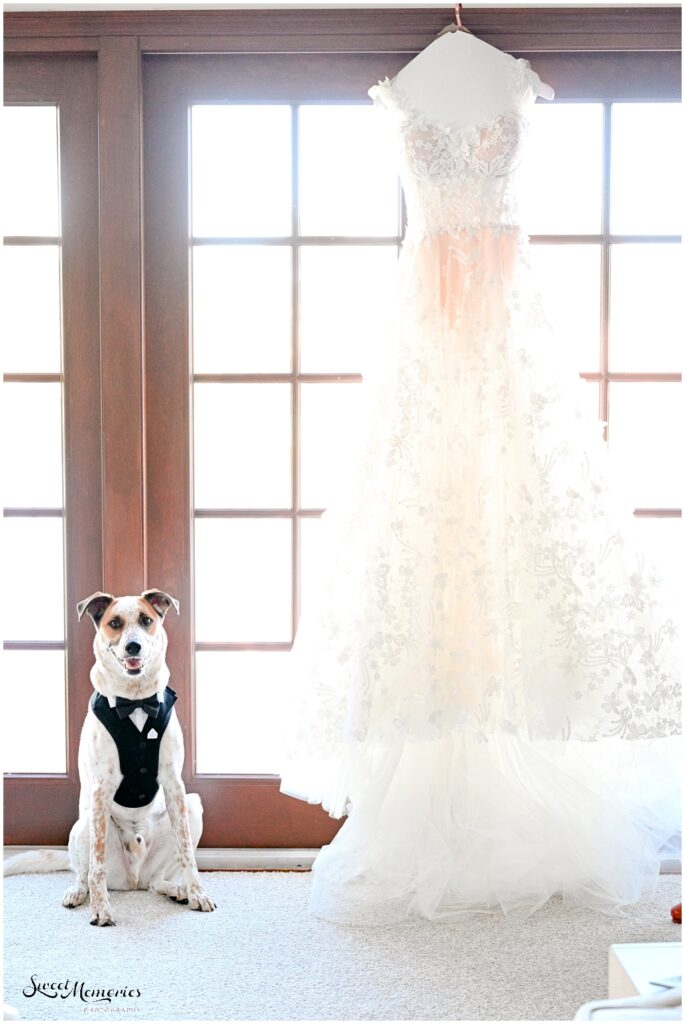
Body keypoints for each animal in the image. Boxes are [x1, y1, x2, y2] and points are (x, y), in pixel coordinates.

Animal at [2, 589, 215, 925]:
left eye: (146, 621)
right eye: (115, 623)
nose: (133, 645)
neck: (136, 701)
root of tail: (132, 880)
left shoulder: (174, 786)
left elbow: (188, 856)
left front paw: (197, 893)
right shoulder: (101, 789)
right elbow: (97, 866)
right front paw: (101, 908)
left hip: (192, 806)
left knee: (155, 882)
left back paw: (174, 889)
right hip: (84, 823)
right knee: (84, 871)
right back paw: (78, 892)